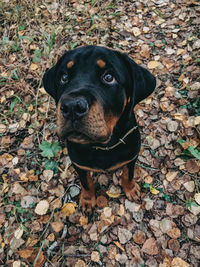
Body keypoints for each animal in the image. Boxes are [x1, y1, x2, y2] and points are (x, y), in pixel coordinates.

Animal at [42, 45, 156, 214]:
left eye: (108, 77)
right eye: (64, 77)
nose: (72, 107)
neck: (103, 147)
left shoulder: (131, 156)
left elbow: (128, 174)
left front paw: (131, 189)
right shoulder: (79, 164)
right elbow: (86, 182)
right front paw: (88, 200)